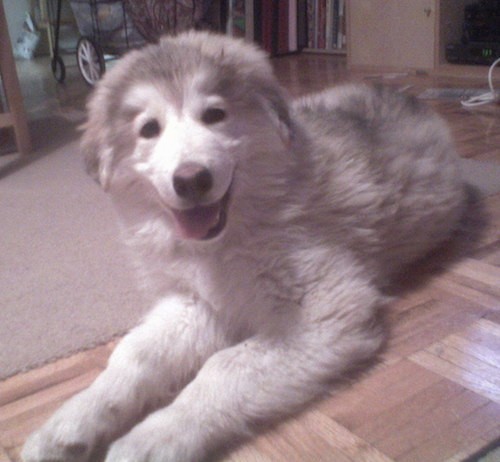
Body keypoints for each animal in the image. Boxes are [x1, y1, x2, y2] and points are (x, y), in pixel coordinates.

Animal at [22, 30, 468, 460]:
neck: (225, 239)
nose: (191, 180)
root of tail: (404, 94)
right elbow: (136, 354)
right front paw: (73, 420)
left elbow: (225, 367)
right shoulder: (195, 303)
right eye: (149, 129)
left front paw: (156, 435)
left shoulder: (323, 310)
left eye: (215, 115)